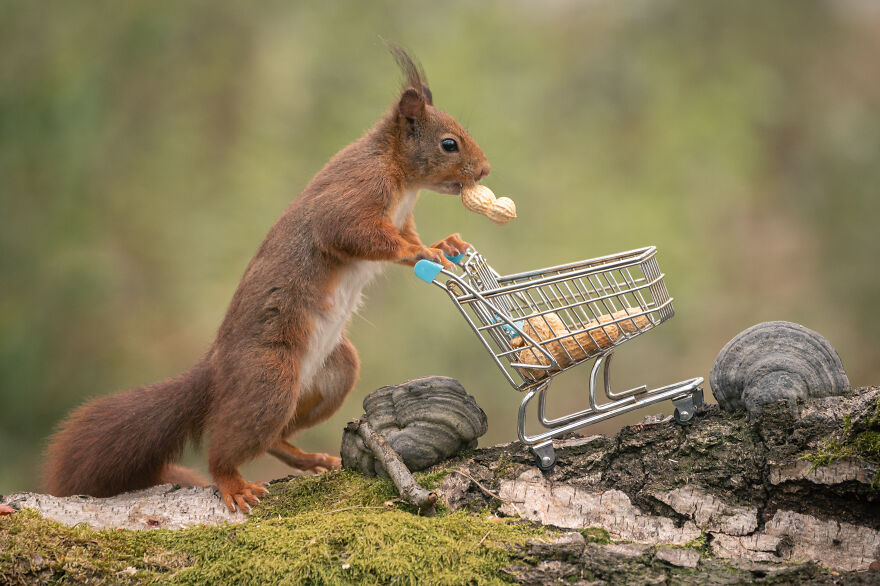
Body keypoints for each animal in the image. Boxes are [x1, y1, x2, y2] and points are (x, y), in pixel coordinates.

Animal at [44, 45, 490, 513]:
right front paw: (423, 254)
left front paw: (446, 244)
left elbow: (406, 237)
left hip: (333, 375)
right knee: (224, 448)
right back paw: (233, 484)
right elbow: (351, 232)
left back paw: (311, 459)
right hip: (268, 379)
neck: (400, 177)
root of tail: (216, 372)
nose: (485, 170)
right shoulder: (354, 193)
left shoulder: (401, 218)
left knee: (274, 438)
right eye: (449, 144)